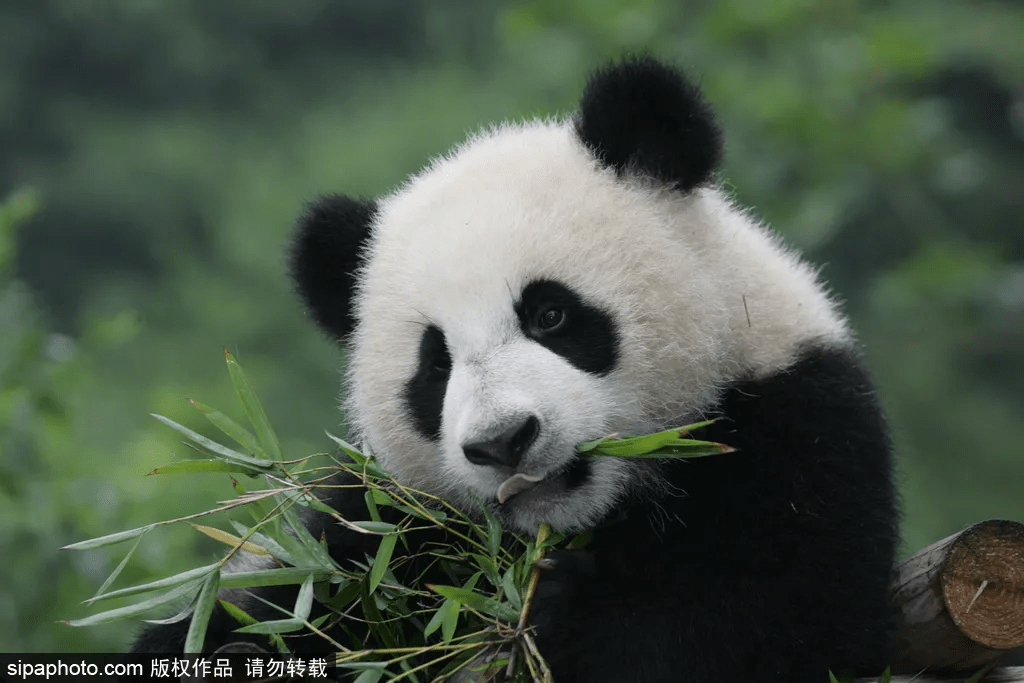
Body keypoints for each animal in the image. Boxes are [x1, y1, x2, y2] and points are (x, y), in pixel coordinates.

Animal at [128, 58, 897, 683]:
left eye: (550, 315)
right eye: (435, 366)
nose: (503, 441)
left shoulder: (790, 426)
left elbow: (758, 619)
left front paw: (557, 617)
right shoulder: (392, 517)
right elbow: (291, 591)